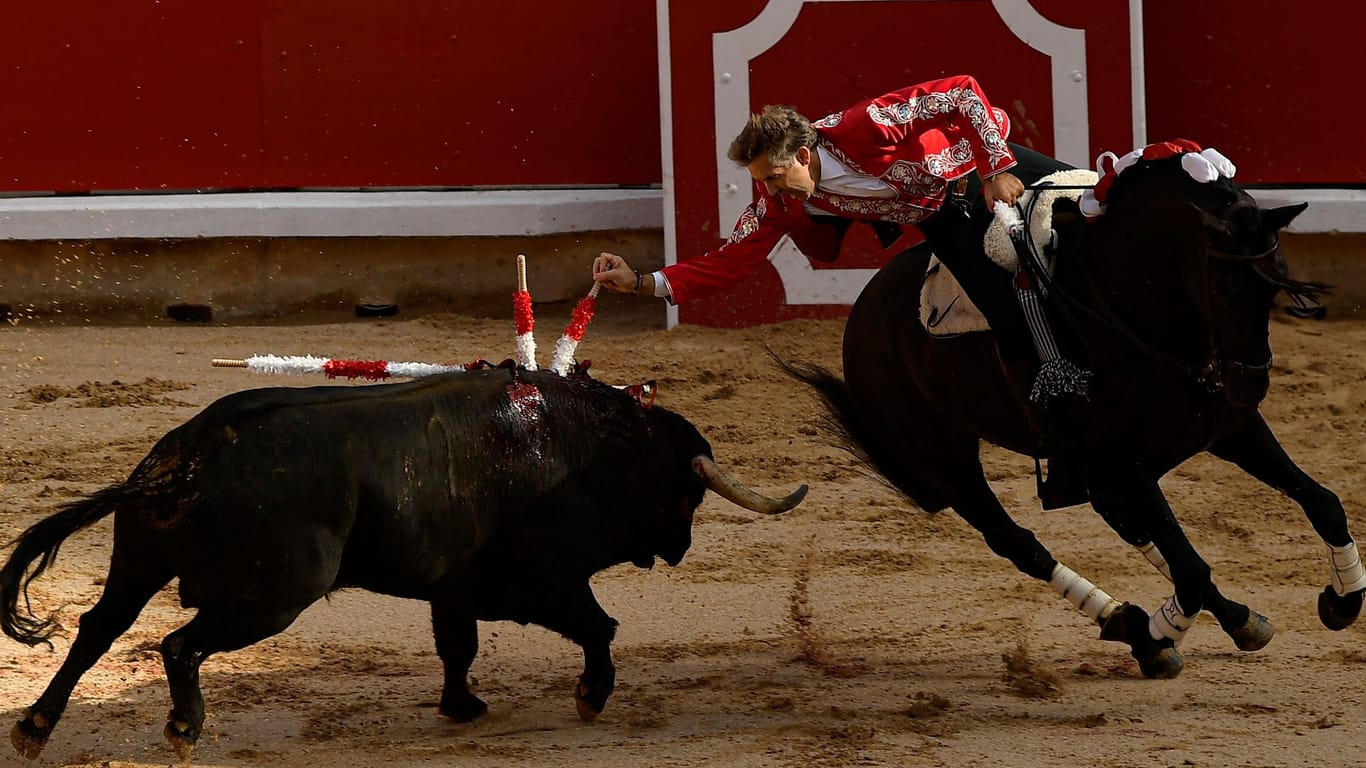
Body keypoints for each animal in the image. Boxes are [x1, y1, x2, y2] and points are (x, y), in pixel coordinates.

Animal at [0, 368, 803, 754]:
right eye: (684, 494)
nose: (681, 548)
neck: (590, 447)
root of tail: (193, 452)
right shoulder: (543, 581)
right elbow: (598, 627)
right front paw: (590, 696)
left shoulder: (455, 588)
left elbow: (457, 647)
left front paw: (462, 706)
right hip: (275, 595)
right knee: (178, 645)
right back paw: (183, 726)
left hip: (139, 563)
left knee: (97, 631)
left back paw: (36, 728)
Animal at [797, 151, 1360, 675]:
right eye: (1226, 286)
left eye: (1276, 282)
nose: (1250, 383)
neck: (1131, 305)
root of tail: (864, 310)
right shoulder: (1126, 461)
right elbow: (1192, 571)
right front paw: (1154, 634)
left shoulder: (1227, 431)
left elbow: (1324, 503)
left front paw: (1342, 601)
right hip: (948, 462)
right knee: (1019, 543)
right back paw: (1129, 626)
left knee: (1130, 528)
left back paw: (1228, 620)